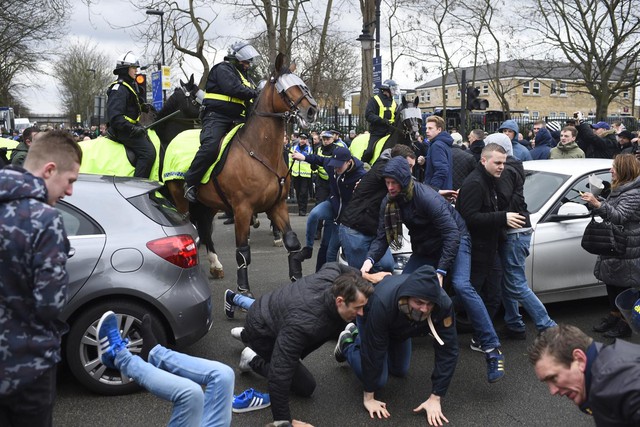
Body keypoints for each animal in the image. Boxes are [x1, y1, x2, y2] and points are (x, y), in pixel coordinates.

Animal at [165, 52, 316, 294]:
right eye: (286, 89)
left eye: (303, 84)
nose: (311, 111)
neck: (260, 152)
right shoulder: (242, 209)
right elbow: (242, 251)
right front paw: (243, 290)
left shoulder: (278, 204)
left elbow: (292, 241)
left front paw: (297, 278)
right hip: (180, 198)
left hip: (208, 204)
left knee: (204, 228)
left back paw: (214, 265)